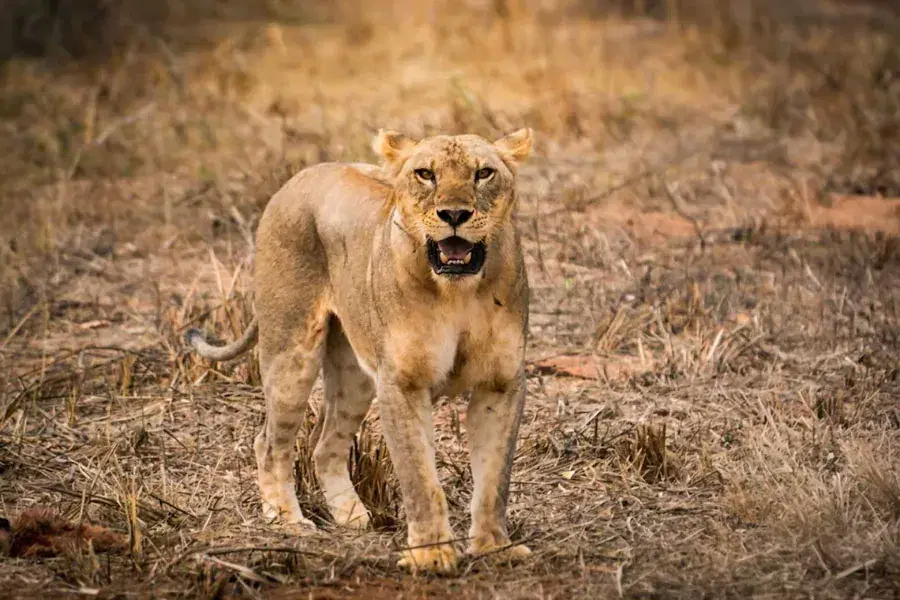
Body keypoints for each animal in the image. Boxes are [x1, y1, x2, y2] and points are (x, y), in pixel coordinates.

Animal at [186, 128, 534, 573]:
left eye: (484, 173)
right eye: (425, 174)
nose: (454, 215)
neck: (458, 291)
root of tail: (298, 177)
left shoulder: (501, 384)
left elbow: (493, 479)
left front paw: (495, 548)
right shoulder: (401, 384)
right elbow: (420, 478)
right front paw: (430, 554)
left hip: (354, 375)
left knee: (325, 445)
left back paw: (352, 516)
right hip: (292, 353)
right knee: (269, 442)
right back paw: (287, 519)